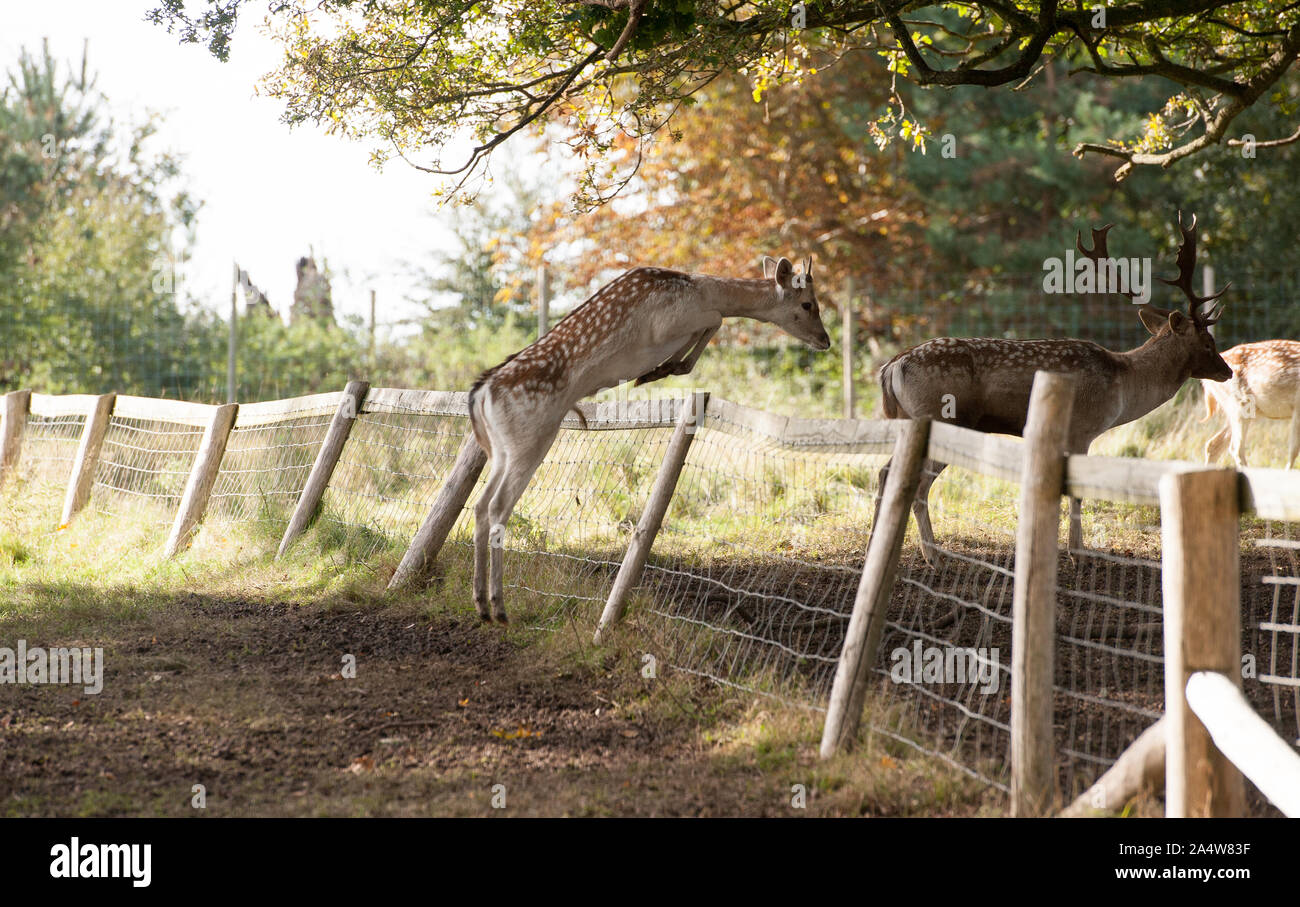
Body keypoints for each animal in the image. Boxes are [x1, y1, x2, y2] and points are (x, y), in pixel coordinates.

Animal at [467, 257, 831, 623]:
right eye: (807, 304)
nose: (826, 340)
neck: (702, 289)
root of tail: (481, 396)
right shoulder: (669, 322)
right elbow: (717, 319)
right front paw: (663, 368)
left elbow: (712, 324)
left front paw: (660, 369)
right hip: (531, 439)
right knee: (498, 506)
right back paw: (499, 606)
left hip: (500, 450)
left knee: (481, 504)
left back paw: (482, 604)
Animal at [874, 213, 1233, 562]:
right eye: (1207, 342)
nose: (1227, 371)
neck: (1124, 383)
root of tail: (892, 366)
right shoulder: (1081, 429)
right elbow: (1075, 492)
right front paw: (1078, 553)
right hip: (945, 418)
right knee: (917, 485)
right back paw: (931, 556)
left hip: (908, 421)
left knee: (885, 473)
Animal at [1201, 340, 1300, 468]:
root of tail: (1205, 381)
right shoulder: (1297, 406)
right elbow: (1293, 450)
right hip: (1240, 404)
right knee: (1235, 448)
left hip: (1245, 410)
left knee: (1213, 444)